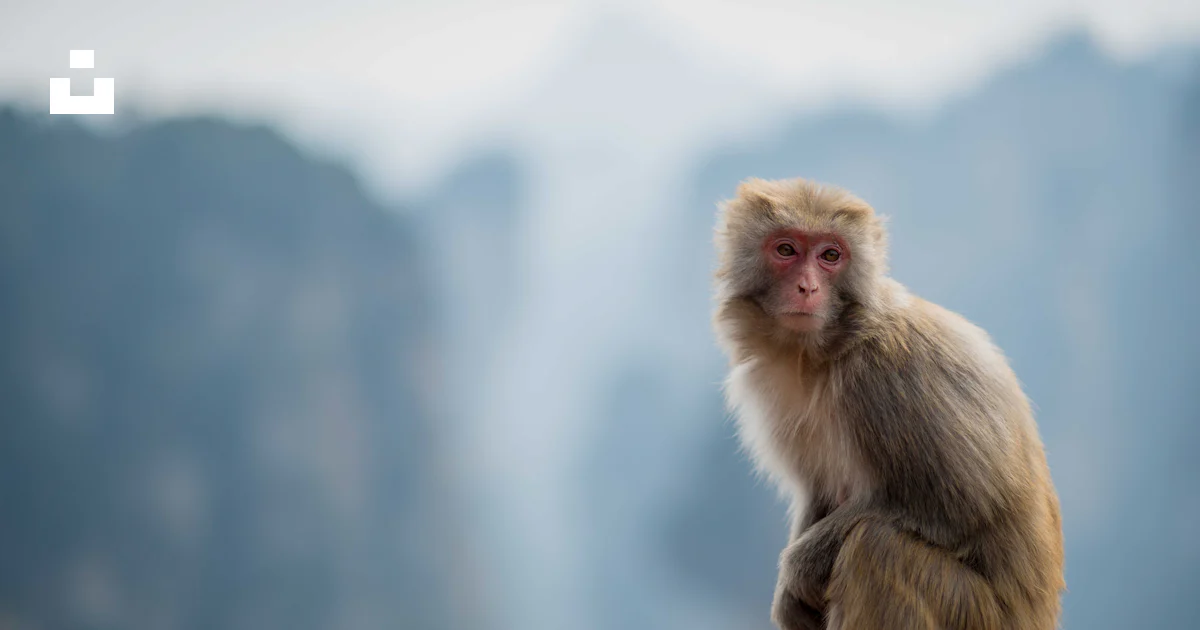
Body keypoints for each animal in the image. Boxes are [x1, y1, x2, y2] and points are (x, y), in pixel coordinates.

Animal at [712, 178, 1064, 630]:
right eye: (786, 249)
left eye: (830, 255)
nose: (807, 288)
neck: (828, 350)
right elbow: (819, 492)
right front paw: (789, 597)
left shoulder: (890, 377)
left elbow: (961, 504)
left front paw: (797, 570)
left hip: (974, 612)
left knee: (877, 546)